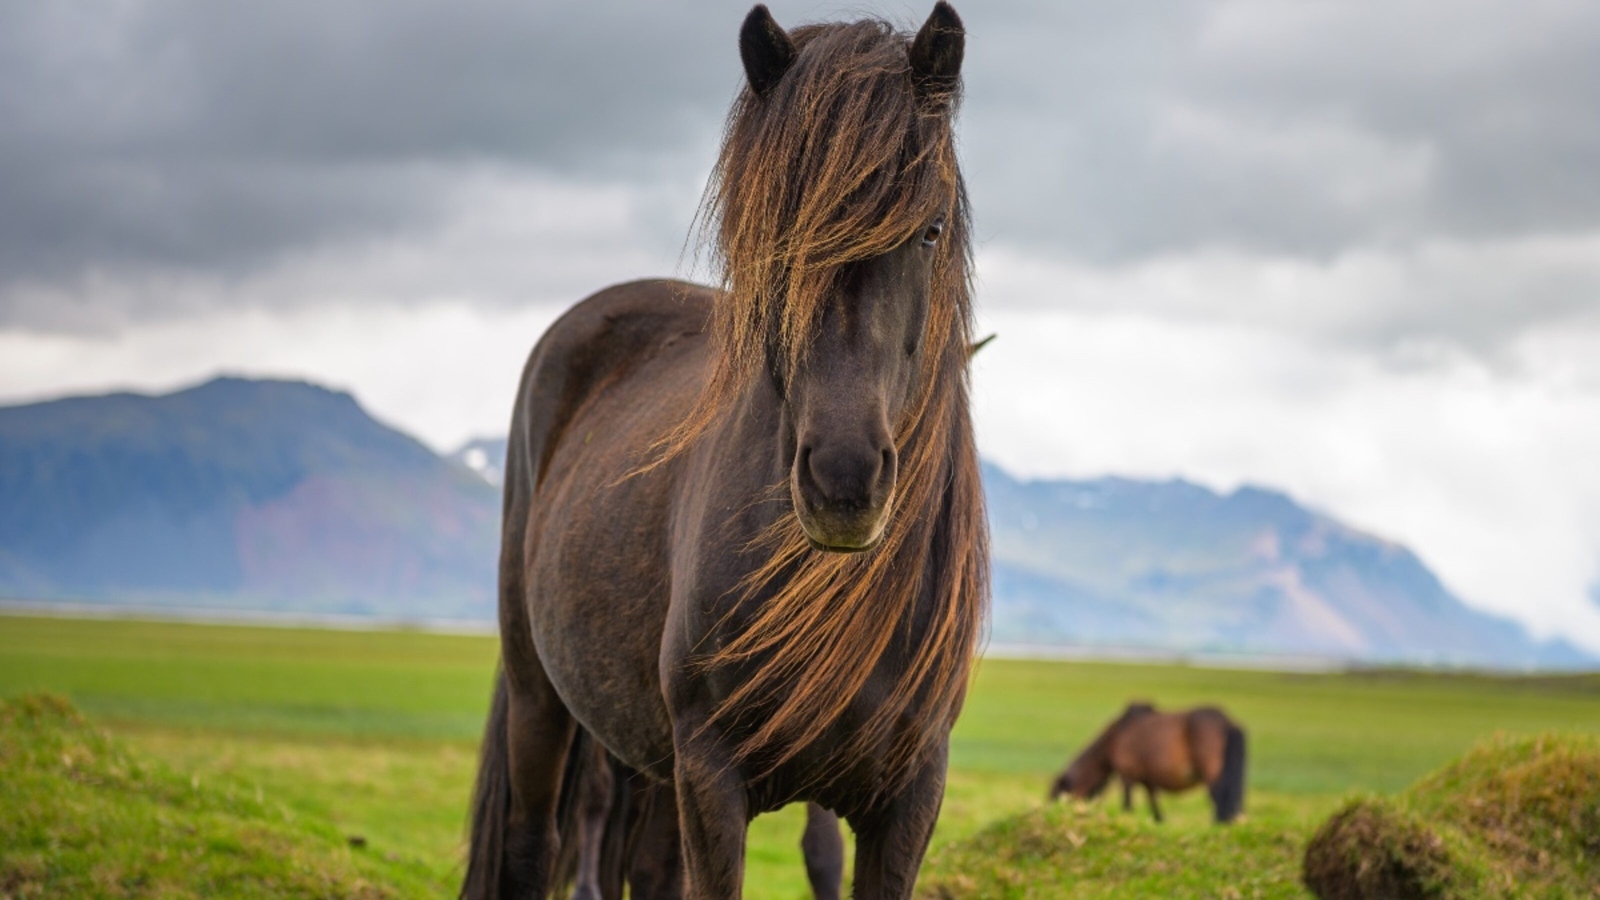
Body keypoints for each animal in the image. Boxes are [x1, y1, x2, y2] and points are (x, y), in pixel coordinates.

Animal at [460, 3, 987, 898]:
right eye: (774, 234)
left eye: (930, 230)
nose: (843, 481)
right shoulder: (712, 781)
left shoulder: (911, 794)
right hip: (542, 701)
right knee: (532, 846)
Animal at [1049, 704, 1247, 824]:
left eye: (1057, 796)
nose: (1056, 814)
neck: (1114, 738)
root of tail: (1229, 722)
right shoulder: (1148, 779)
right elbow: (1156, 809)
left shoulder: (1127, 774)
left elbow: (1127, 805)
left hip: (1212, 773)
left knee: (1220, 800)